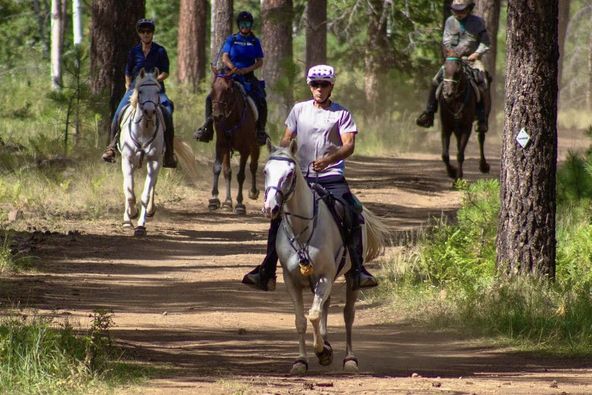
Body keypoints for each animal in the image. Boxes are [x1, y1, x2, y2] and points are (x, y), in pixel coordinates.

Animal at [210, 72, 262, 215]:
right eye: (212, 87)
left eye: (228, 89)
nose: (217, 116)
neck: (232, 119)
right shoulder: (222, 145)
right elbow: (221, 170)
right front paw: (218, 200)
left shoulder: (245, 149)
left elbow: (241, 175)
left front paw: (239, 204)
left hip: (255, 147)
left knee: (253, 167)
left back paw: (253, 192)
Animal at [262, 141, 390, 376]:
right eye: (266, 171)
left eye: (290, 173)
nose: (270, 208)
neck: (303, 229)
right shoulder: (291, 280)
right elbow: (301, 320)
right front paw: (301, 361)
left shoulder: (324, 277)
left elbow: (313, 314)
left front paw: (322, 352)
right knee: (325, 306)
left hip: (350, 277)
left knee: (348, 314)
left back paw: (349, 359)